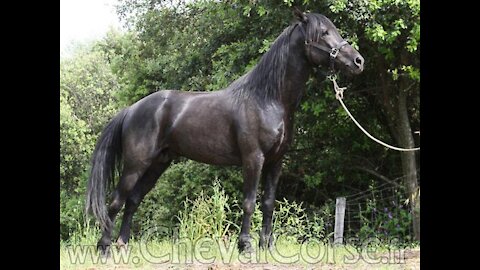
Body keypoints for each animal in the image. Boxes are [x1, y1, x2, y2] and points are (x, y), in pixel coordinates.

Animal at [86, 9, 364, 254]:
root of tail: (132, 109)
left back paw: (122, 245)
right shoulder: (253, 158)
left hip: (158, 163)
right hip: (136, 164)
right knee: (116, 201)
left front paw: (266, 246)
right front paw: (246, 246)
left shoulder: (276, 162)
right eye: (324, 33)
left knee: (133, 200)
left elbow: (268, 203)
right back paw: (104, 248)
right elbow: (249, 203)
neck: (268, 99)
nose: (358, 61)